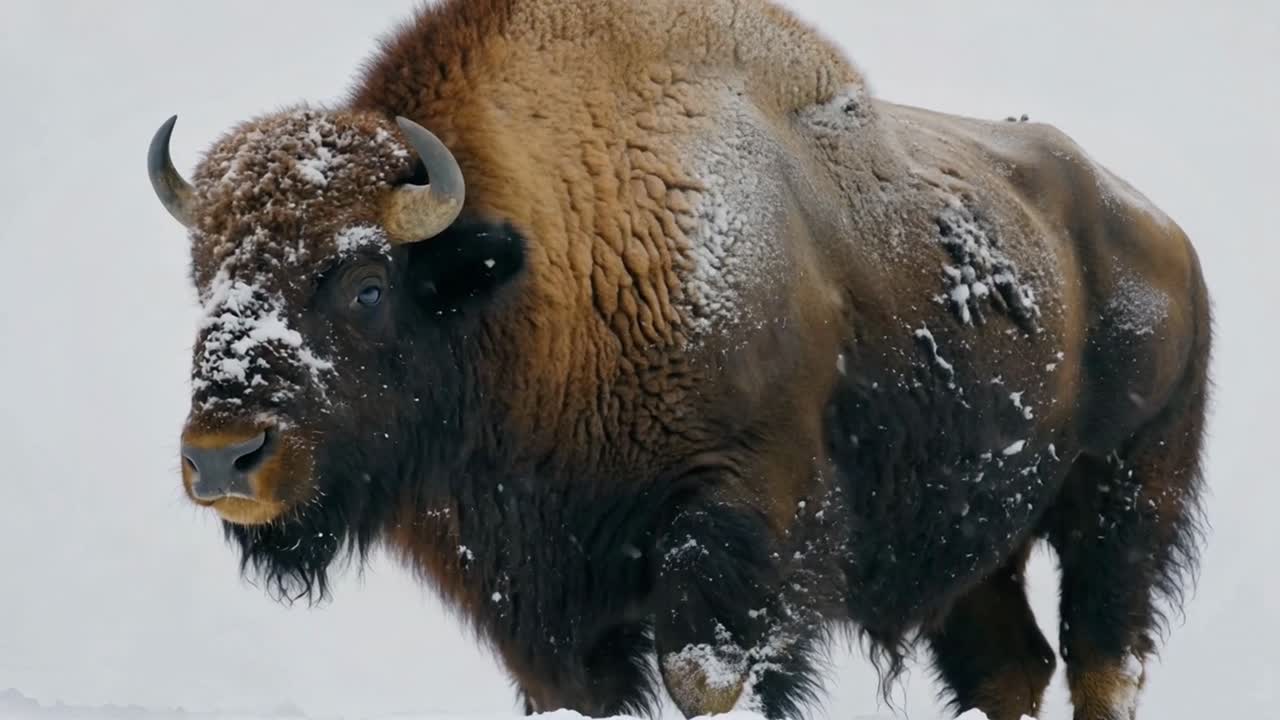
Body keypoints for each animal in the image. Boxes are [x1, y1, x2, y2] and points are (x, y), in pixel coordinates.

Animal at [148, 1, 1211, 719]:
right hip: (978, 542)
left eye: (366, 286)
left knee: (1105, 656)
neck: (537, 266)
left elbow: (708, 673)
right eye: (205, 274)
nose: (223, 458)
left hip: (1121, 499)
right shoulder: (547, 606)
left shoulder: (731, 546)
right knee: (1010, 666)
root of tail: (1162, 235)